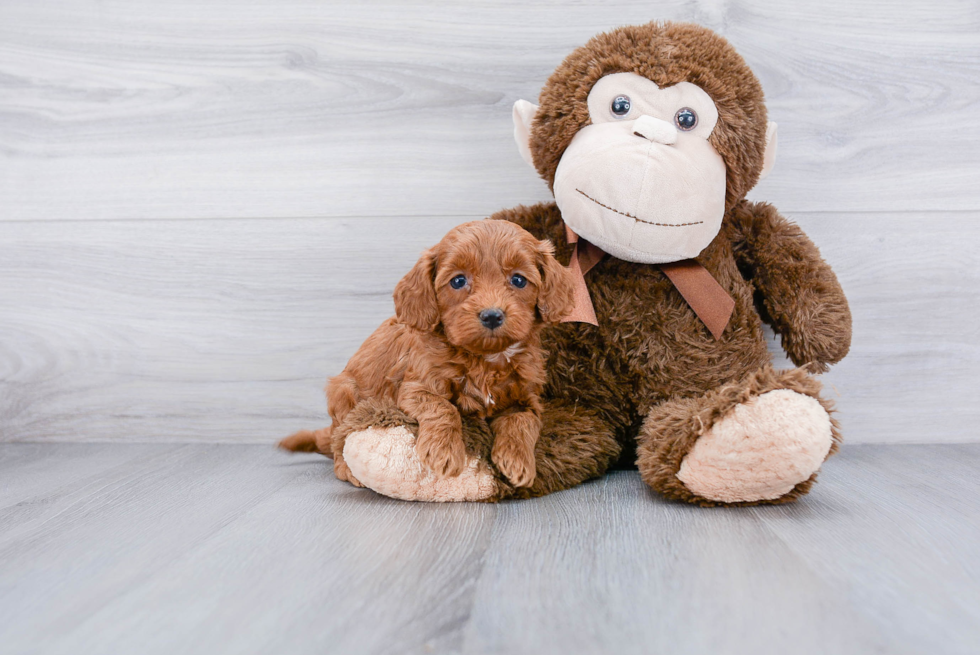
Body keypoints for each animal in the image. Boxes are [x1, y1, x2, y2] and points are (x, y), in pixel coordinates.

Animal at [278, 220, 576, 486]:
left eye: (518, 279)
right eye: (458, 281)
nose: (492, 315)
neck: (484, 358)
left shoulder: (526, 398)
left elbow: (522, 421)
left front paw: (518, 462)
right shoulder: (416, 386)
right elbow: (442, 407)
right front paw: (445, 452)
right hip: (344, 395)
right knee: (341, 440)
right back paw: (348, 471)